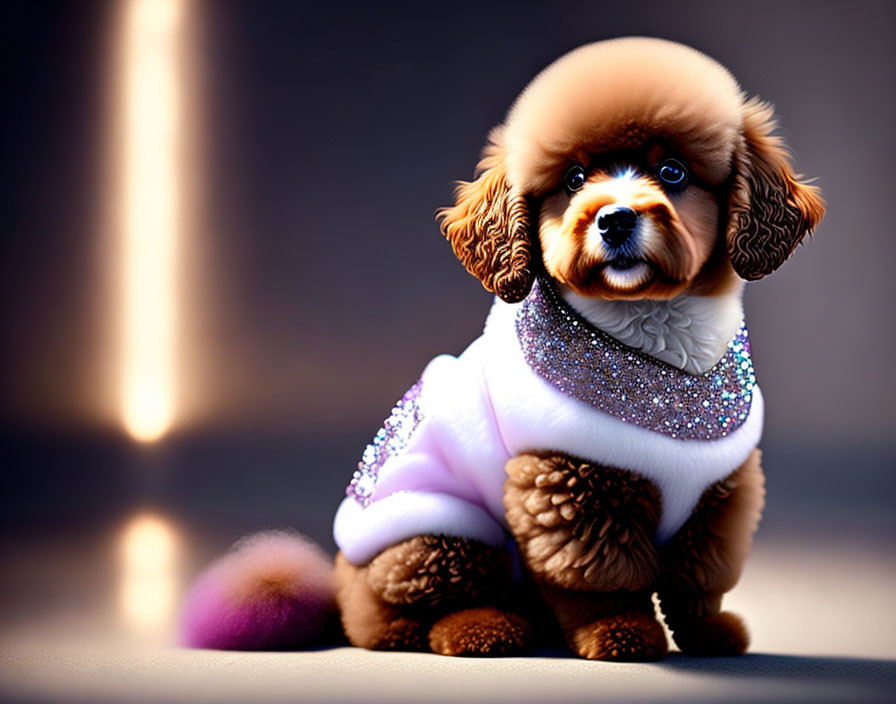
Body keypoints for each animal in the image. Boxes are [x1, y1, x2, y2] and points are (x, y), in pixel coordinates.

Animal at [330, 38, 824, 660]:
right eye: (573, 178)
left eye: (672, 172)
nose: (615, 219)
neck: (654, 327)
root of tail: (341, 570)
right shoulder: (572, 481)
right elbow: (601, 574)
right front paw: (620, 633)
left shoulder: (720, 491)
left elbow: (699, 574)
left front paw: (707, 632)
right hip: (439, 535)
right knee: (394, 612)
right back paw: (480, 629)